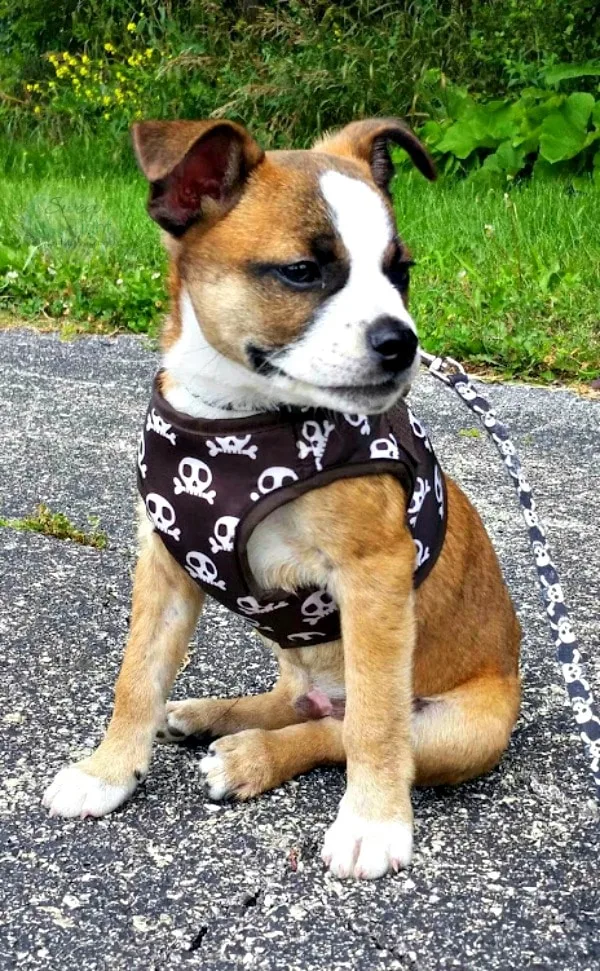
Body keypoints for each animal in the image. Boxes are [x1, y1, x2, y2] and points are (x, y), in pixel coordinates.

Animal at [43, 116, 520, 880]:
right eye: (301, 271)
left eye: (400, 271)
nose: (403, 343)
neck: (240, 417)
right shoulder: (166, 566)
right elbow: (136, 676)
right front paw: (108, 771)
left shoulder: (374, 577)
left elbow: (376, 722)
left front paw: (373, 822)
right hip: (301, 666)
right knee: (297, 703)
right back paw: (214, 714)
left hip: (464, 727)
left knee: (339, 729)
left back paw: (251, 757)